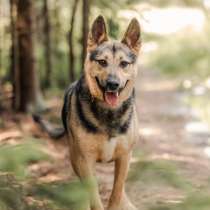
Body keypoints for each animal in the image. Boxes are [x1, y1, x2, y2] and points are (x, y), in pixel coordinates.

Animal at [33, 16, 140, 210]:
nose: (113, 84)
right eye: (102, 62)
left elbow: (117, 191)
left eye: (124, 64)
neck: (109, 112)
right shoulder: (85, 159)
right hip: (75, 158)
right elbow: (94, 196)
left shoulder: (124, 157)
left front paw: (119, 202)